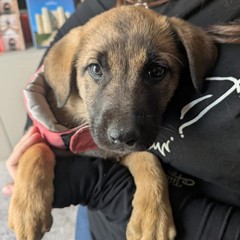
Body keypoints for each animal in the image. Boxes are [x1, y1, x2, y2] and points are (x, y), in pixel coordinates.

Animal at [8, 5, 217, 240]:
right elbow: (36, 149)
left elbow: (148, 159)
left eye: (157, 71)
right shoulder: (44, 134)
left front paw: (153, 218)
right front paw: (28, 210)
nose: (123, 136)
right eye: (95, 69)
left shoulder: (122, 152)